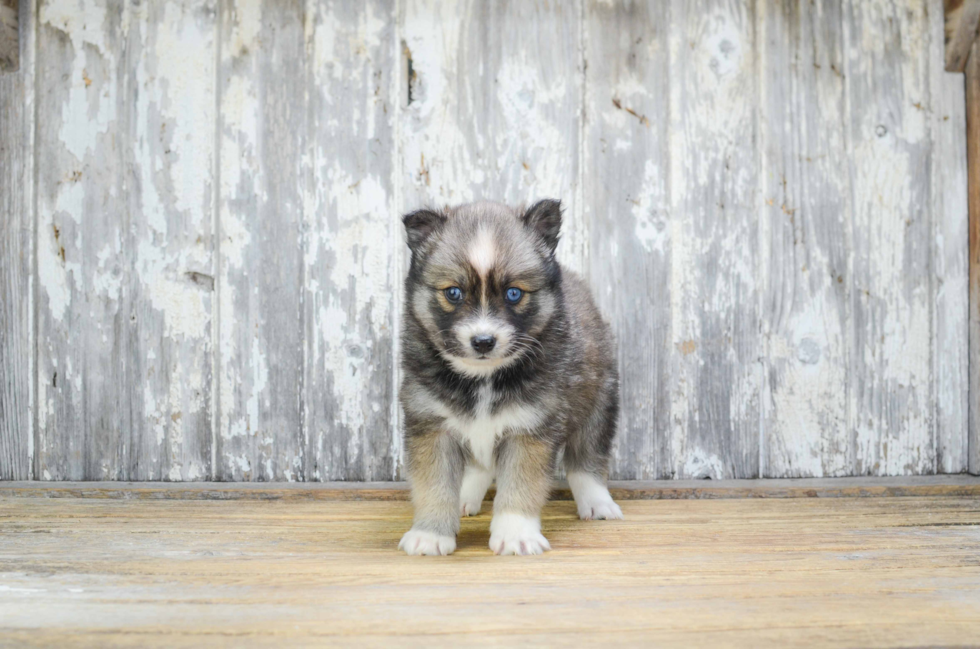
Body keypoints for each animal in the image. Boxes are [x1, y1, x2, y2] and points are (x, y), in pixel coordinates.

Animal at [396, 200, 620, 556]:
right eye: (454, 293)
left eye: (514, 293)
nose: (483, 341)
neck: (482, 378)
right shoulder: (432, 427)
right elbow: (434, 485)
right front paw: (430, 533)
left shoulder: (529, 429)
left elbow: (520, 484)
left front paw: (516, 534)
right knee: (480, 465)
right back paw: (466, 496)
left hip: (598, 403)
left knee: (587, 459)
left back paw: (597, 502)